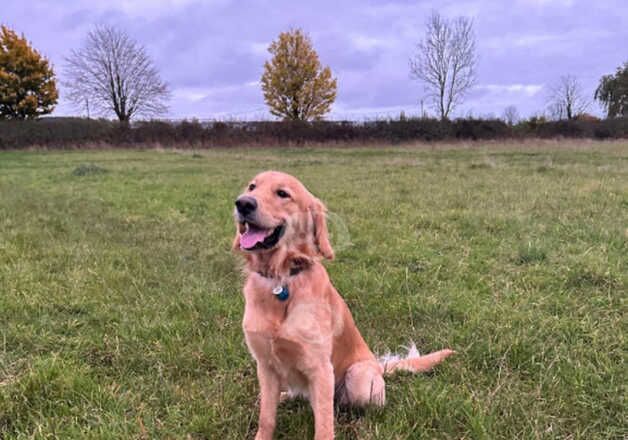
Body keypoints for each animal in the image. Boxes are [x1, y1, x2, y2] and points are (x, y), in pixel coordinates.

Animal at [233, 170, 454, 438]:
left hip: (358, 377)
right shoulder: (264, 365)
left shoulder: (320, 369)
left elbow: (324, 425)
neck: (281, 280)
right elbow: (266, 418)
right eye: (252, 187)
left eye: (283, 193)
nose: (243, 203)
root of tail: (378, 366)